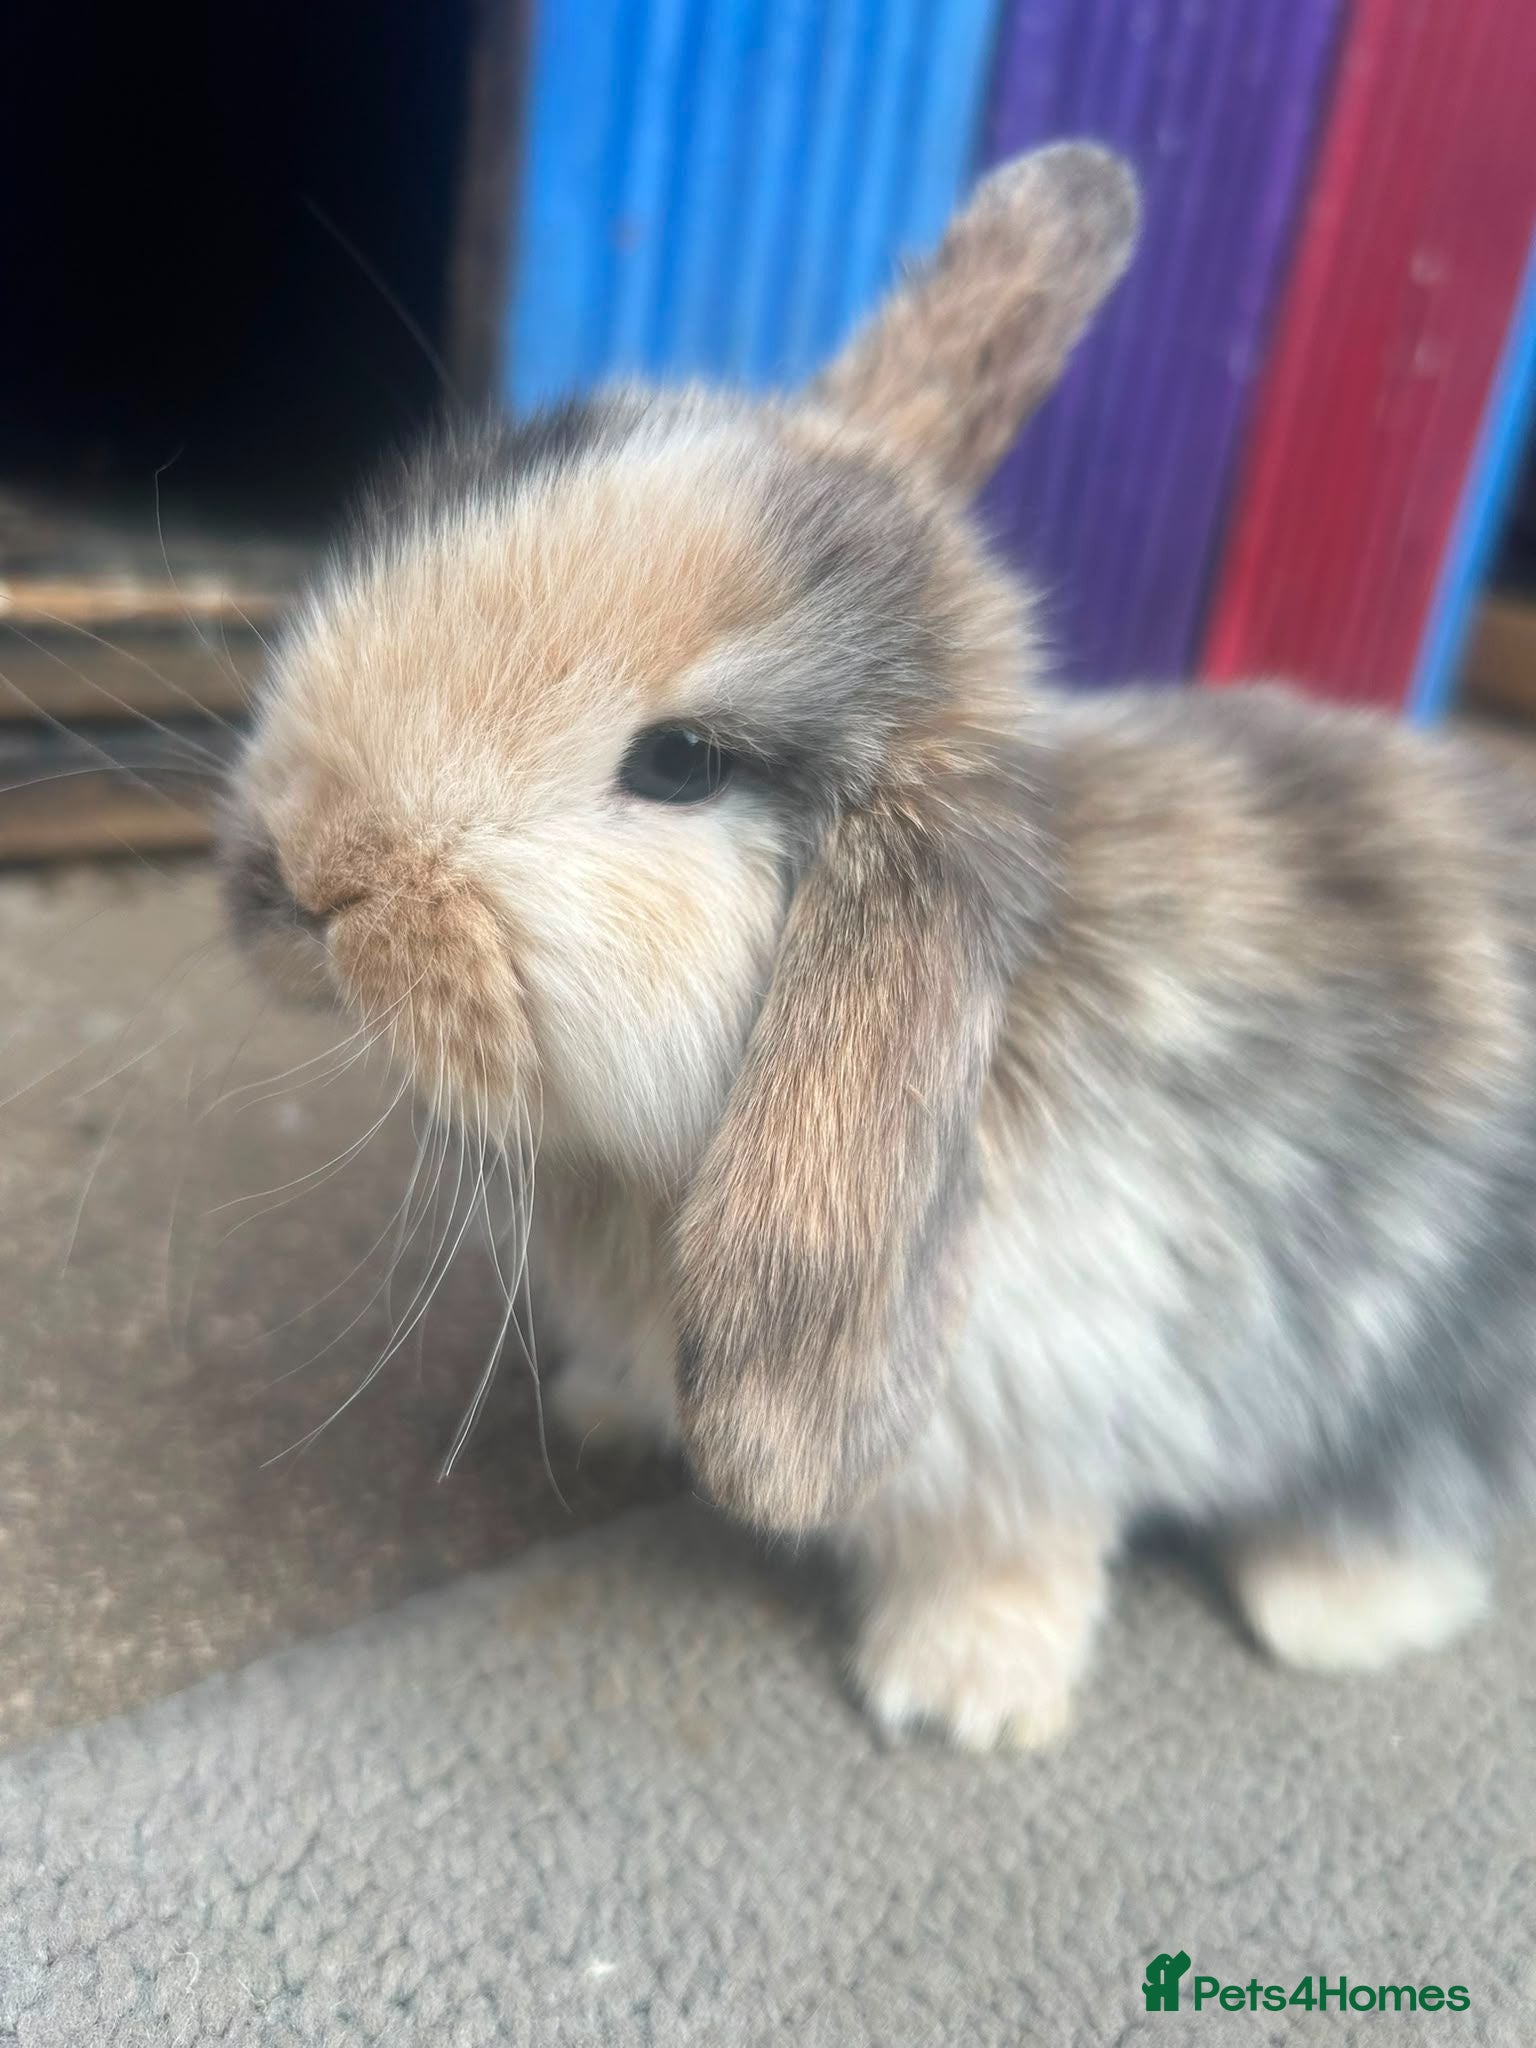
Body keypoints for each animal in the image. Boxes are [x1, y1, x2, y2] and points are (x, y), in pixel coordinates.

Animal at [221, 143, 1536, 1751]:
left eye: (680, 764)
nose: (302, 872)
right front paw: (604, 1411)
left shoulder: (1053, 1410)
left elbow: (1014, 1546)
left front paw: (959, 1695)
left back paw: (1333, 1613)